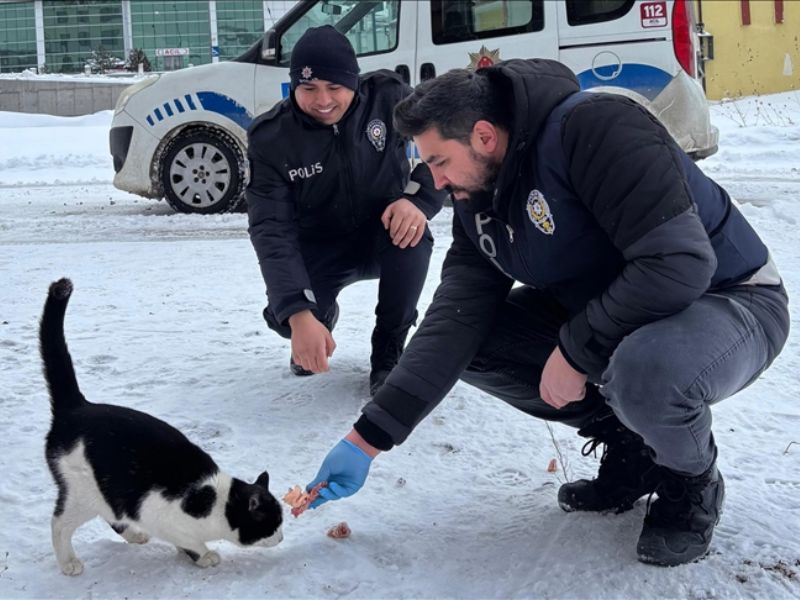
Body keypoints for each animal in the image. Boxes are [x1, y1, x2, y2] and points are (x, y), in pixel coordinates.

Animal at [41, 278, 284, 576]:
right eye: (272, 524)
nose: (281, 537)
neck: (214, 500)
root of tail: (77, 406)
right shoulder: (159, 515)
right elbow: (190, 542)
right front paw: (205, 556)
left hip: (107, 491)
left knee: (112, 514)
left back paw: (135, 535)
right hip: (82, 490)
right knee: (59, 523)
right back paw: (69, 563)